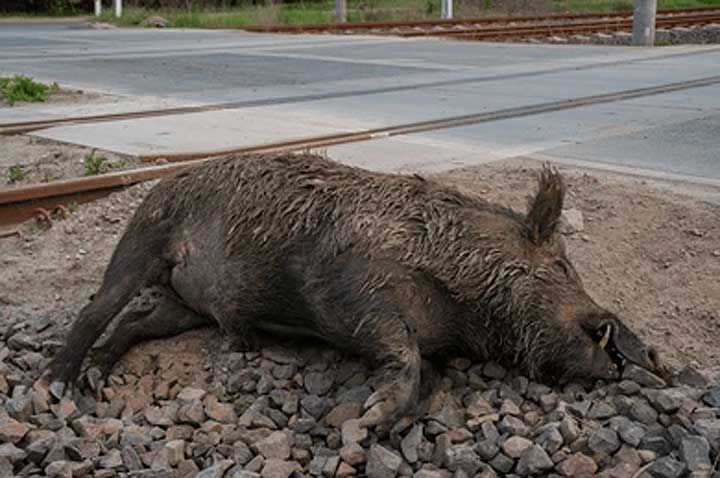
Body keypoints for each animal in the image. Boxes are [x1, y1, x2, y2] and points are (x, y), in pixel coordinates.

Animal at [45, 153, 661, 427]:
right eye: (561, 266)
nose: (647, 352)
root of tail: (161, 183)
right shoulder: (348, 289)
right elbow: (401, 351)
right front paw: (369, 419)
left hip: (187, 305)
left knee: (137, 322)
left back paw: (98, 377)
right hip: (144, 236)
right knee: (98, 307)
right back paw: (61, 384)